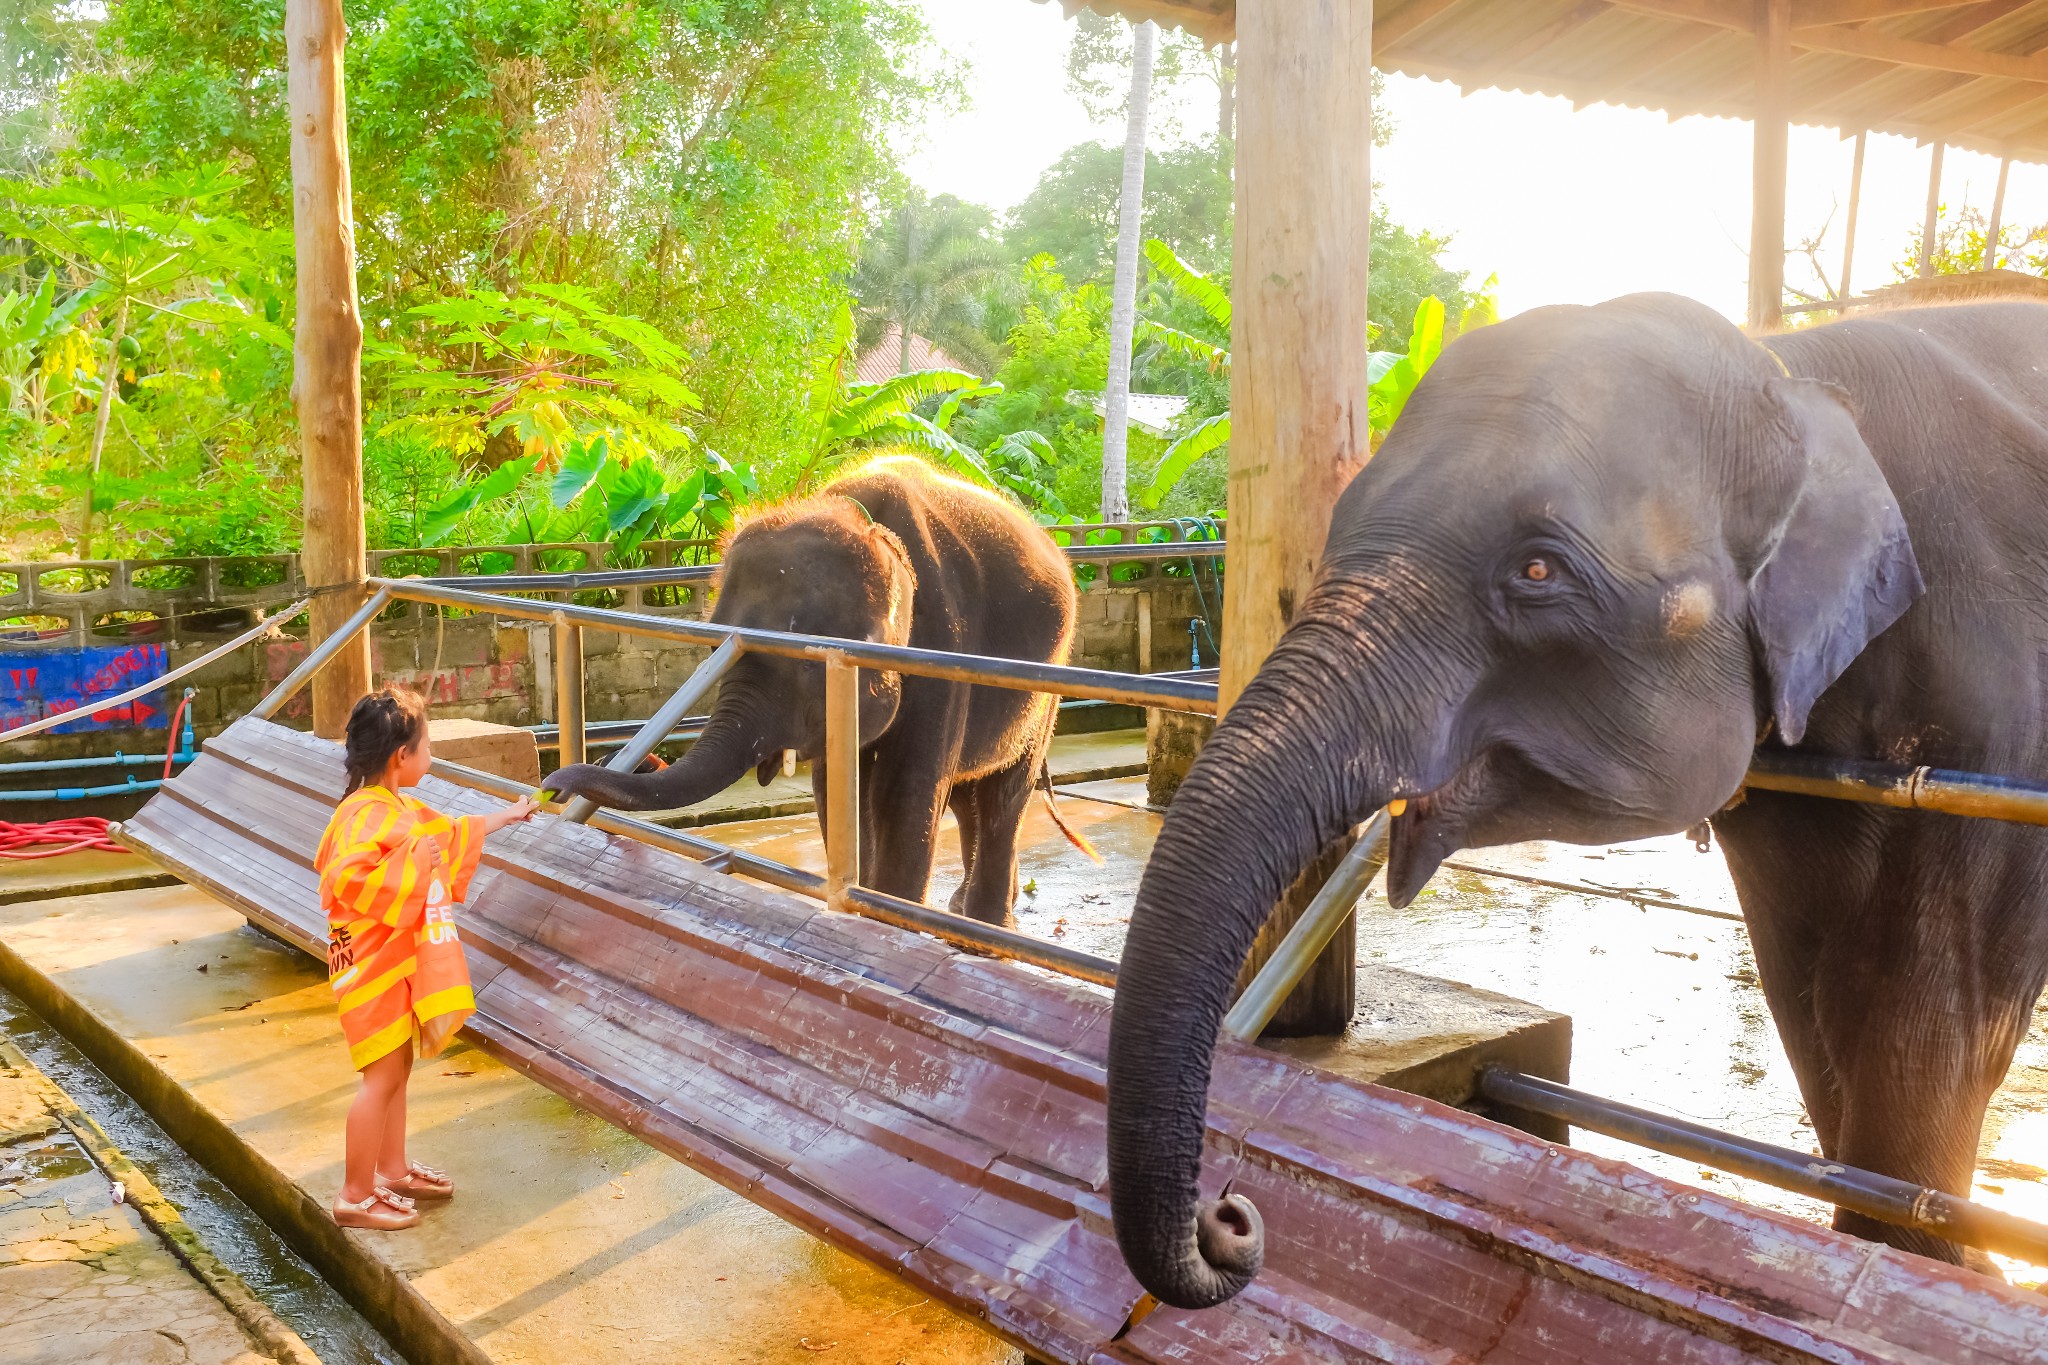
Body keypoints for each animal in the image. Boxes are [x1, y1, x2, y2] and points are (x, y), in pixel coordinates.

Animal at [544, 454, 1089, 925]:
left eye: (809, 665)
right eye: (718, 642)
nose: (551, 785)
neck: (872, 530)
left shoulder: (945, 649)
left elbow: (905, 791)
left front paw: (889, 917)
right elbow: (838, 792)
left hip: (1047, 680)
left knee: (1002, 794)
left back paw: (986, 922)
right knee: (964, 793)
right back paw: (966, 911)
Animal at [1114, 294, 2048, 1309]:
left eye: (1537, 571)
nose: (1230, 1217)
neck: (1790, 372)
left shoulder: (1999, 725)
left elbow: (1922, 999)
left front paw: (1946, 1271)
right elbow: (1811, 980)